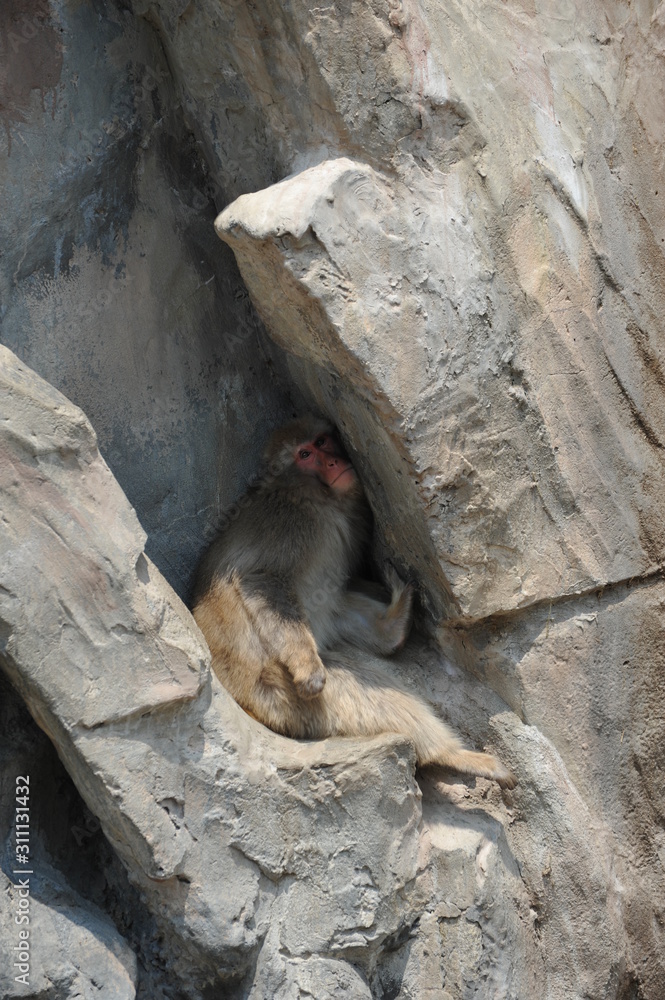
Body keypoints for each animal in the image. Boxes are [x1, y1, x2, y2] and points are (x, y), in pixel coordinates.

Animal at [192, 416, 512, 788]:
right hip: (278, 697)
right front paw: (308, 668)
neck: (316, 498)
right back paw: (451, 754)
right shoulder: (285, 522)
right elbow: (261, 579)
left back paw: (392, 628)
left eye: (322, 442)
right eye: (304, 454)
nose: (332, 462)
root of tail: (242, 702)